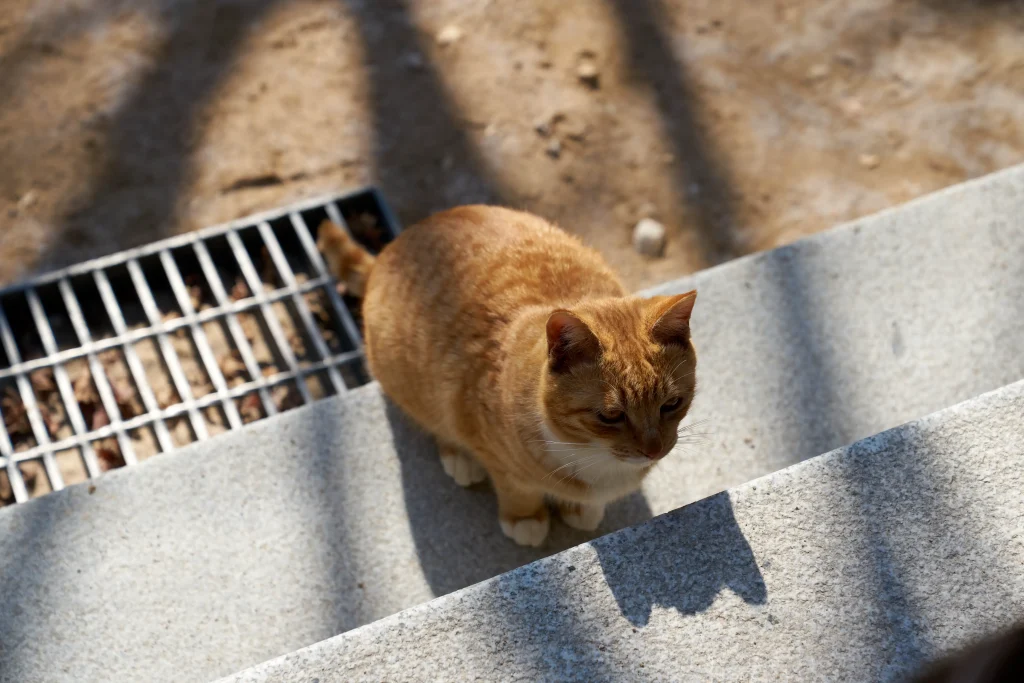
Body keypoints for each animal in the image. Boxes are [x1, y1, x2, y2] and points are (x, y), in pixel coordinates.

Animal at [319, 205, 696, 548]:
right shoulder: (495, 454)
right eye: (610, 416)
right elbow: (516, 489)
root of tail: (392, 248)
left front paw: (580, 509)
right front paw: (525, 518)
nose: (653, 451)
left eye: (672, 404)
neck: (591, 453)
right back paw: (458, 456)